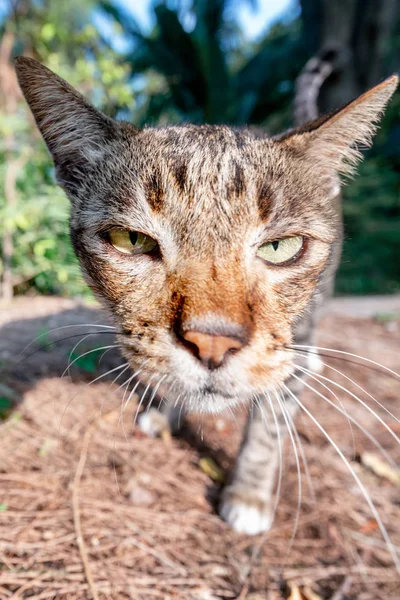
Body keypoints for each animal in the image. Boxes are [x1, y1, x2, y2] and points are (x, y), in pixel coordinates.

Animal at [14, 56, 396, 536]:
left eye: (280, 247)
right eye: (131, 240)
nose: (213, 342)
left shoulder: (293, 338)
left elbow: (271, 419)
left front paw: (249, 493)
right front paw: (169, 409)